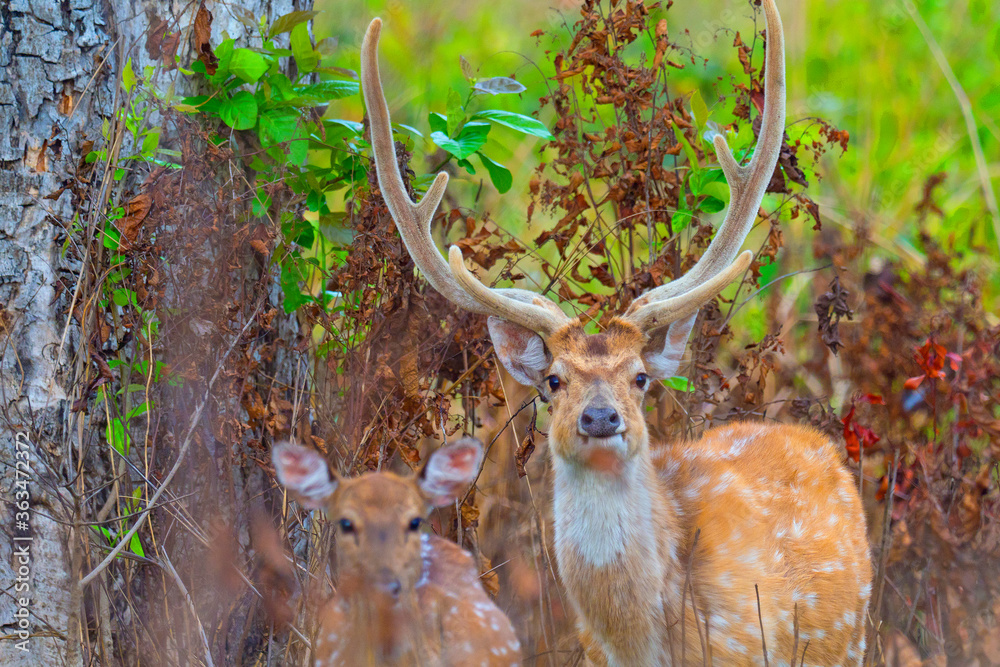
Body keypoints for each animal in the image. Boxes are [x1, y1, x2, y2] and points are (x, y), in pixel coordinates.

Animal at [361, 0, 871, 664]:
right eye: (553, 381)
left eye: (641, 378)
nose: (601, 417)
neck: (643, 640)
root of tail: (818, 445)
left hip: (848, 635)